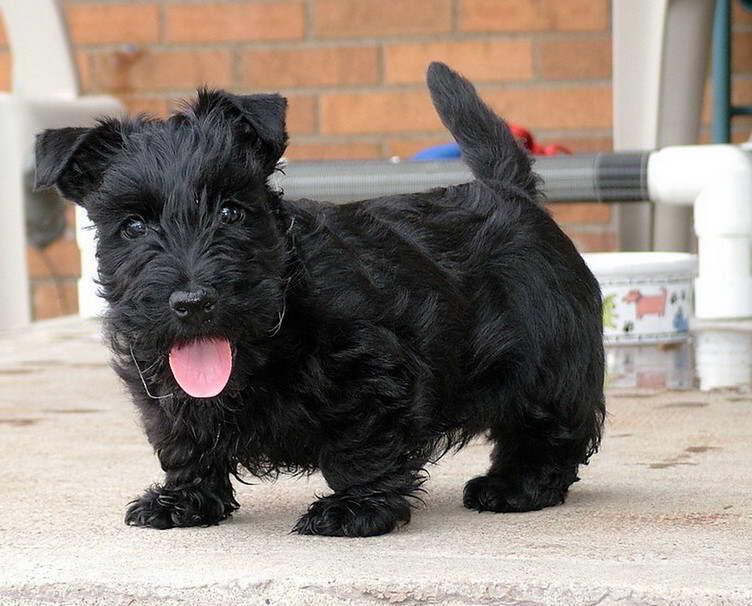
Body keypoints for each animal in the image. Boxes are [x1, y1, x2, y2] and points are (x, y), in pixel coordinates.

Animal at [35, 63, 604, 536]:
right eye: (132, 225)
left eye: (231, 211)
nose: (194, 302)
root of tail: (514, 192)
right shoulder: (162, 386)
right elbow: (184, 439)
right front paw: (184, 501)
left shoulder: (373, 371)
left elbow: (362, 448)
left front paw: (354, 509)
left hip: (550, 368)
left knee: (549, 432)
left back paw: (515, 487)